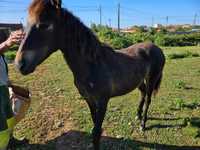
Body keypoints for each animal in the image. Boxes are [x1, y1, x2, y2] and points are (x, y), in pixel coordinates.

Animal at [15, 0, 166, 149]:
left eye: (44, 25)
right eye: (26, 24)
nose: (19, 64)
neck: (92, 65)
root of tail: (158, 48)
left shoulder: (103, 101)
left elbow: (97, 132)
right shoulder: (89, 100)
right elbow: (94, 128)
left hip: (152, 79)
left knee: (148, 99)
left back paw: (143, 125)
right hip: (139, 80)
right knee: (143, 94)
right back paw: (138, 116)